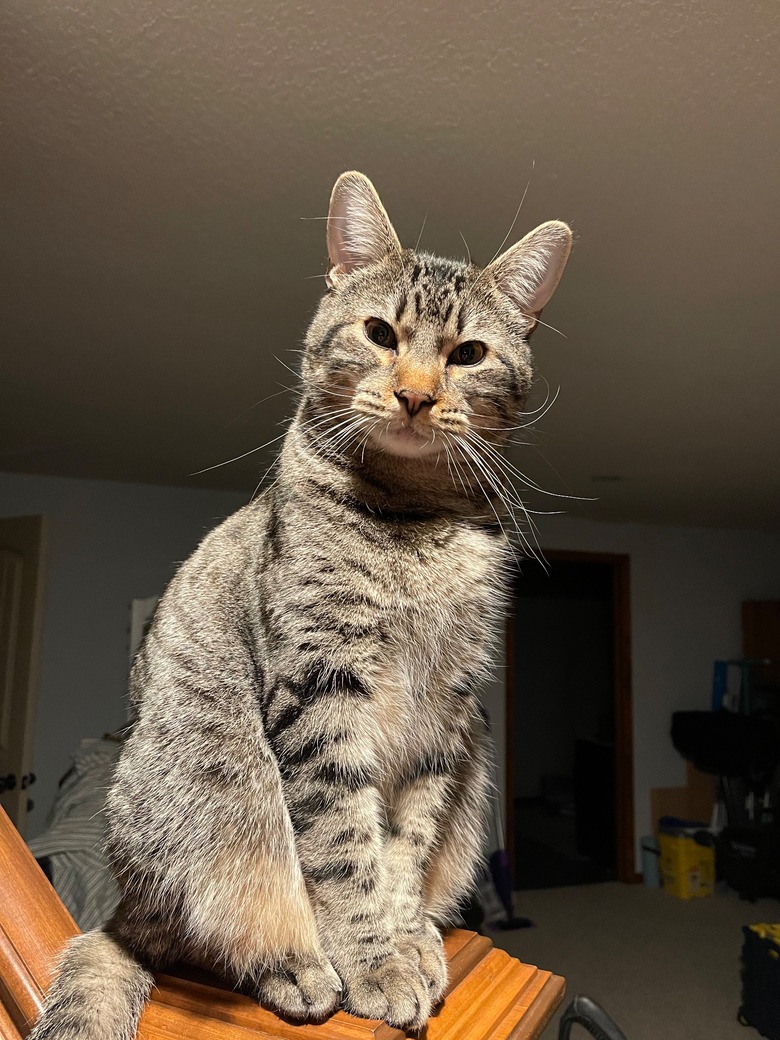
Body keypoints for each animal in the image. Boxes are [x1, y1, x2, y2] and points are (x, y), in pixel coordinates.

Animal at [28, 172, 574, 1040]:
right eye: (381, 333)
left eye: (468, 354)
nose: (416, 396)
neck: (415, 520)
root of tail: (119, 911)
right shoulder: (320, 683)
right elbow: (344, 851)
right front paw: (375, 964)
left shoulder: (448, 710)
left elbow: (402, 846)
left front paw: (402, 937)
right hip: (214, 780)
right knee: (208, 934)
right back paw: (299, 970)